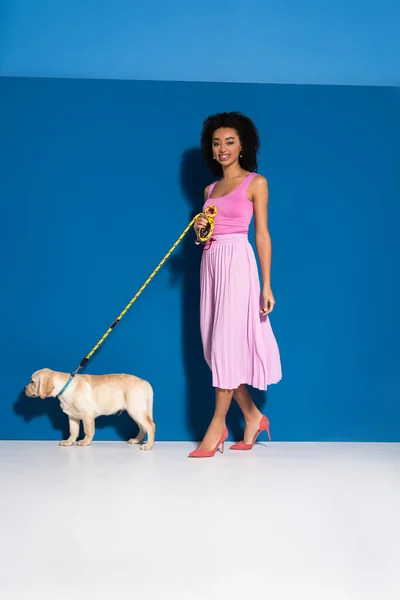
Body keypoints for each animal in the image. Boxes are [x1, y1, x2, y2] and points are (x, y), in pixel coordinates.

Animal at [23, 366, 155, 450]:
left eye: (32, 382)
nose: (24, 389)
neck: (66, 387)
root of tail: (145, 382)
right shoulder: (72, 416)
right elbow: (73, 430)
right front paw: (69, 441)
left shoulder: (87, 414)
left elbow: (88, 430)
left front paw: (85, 441)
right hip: (136, 412)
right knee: (143, 427)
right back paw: (137, 440)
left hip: (136, 410)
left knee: (150, 426)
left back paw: (149, 445)